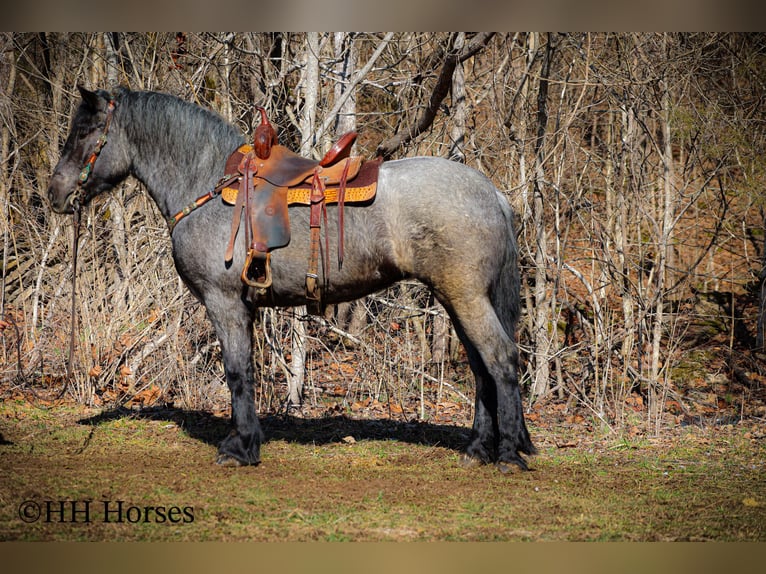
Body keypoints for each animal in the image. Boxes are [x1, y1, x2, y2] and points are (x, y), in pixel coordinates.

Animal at [48, 86, 536, 472]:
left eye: (85, 132)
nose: (55, 193)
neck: (209, 186)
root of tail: (491, 192)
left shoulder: (224, 303)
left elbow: (237, 371)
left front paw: (240, 448)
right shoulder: (241, 308)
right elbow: (245, 370)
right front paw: (245, 440)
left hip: (466, 297)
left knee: (501, 360)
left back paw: (508, 454)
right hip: (458, 299)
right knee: (481, 369)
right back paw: (477, 448)